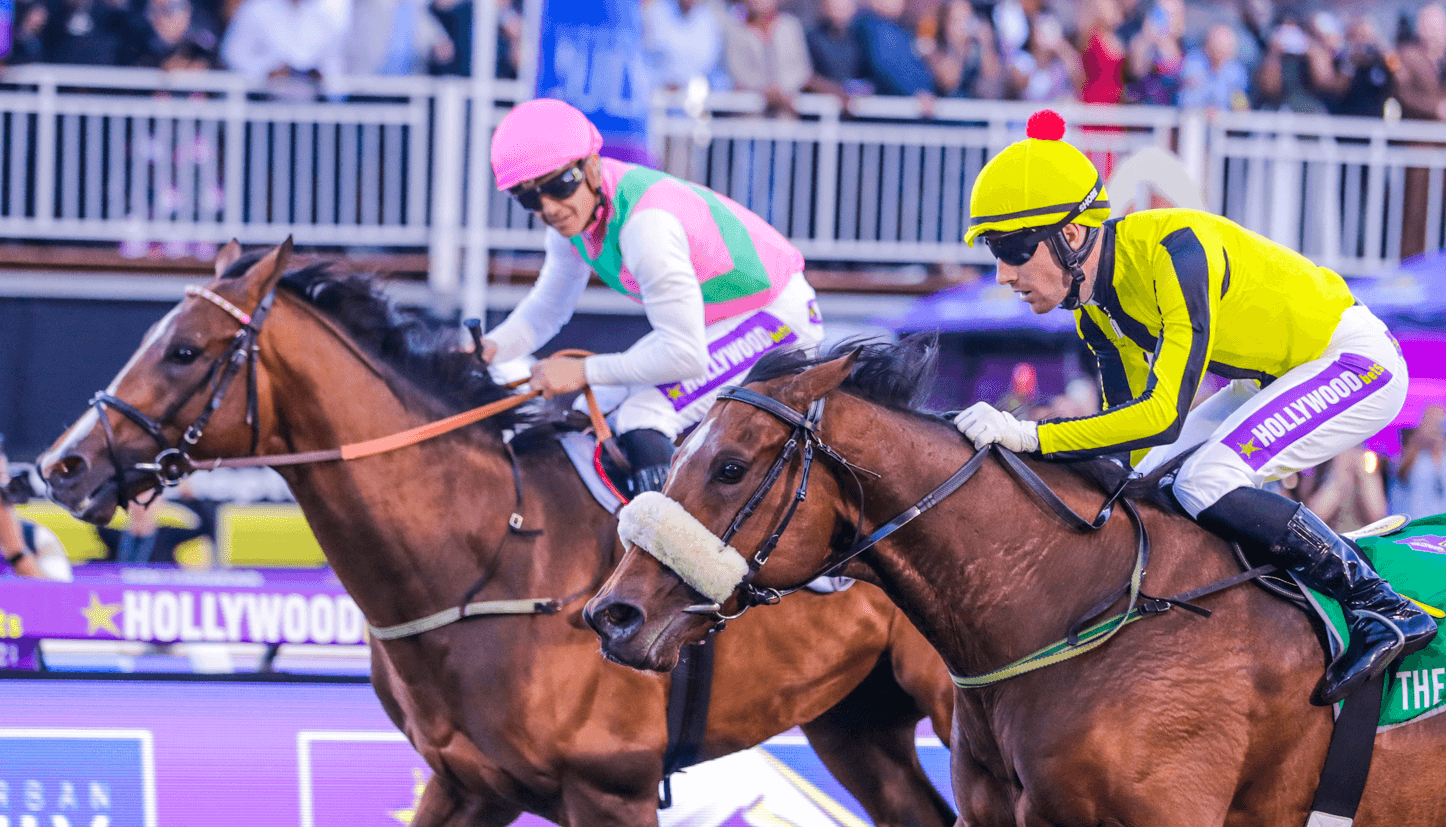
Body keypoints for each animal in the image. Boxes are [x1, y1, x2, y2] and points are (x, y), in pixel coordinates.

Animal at [38, 242, 959, 827]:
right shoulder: (469, 783)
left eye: (187, 350)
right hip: (855, 720)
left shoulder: (612, 789)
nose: (62, 465)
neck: (489, 555)